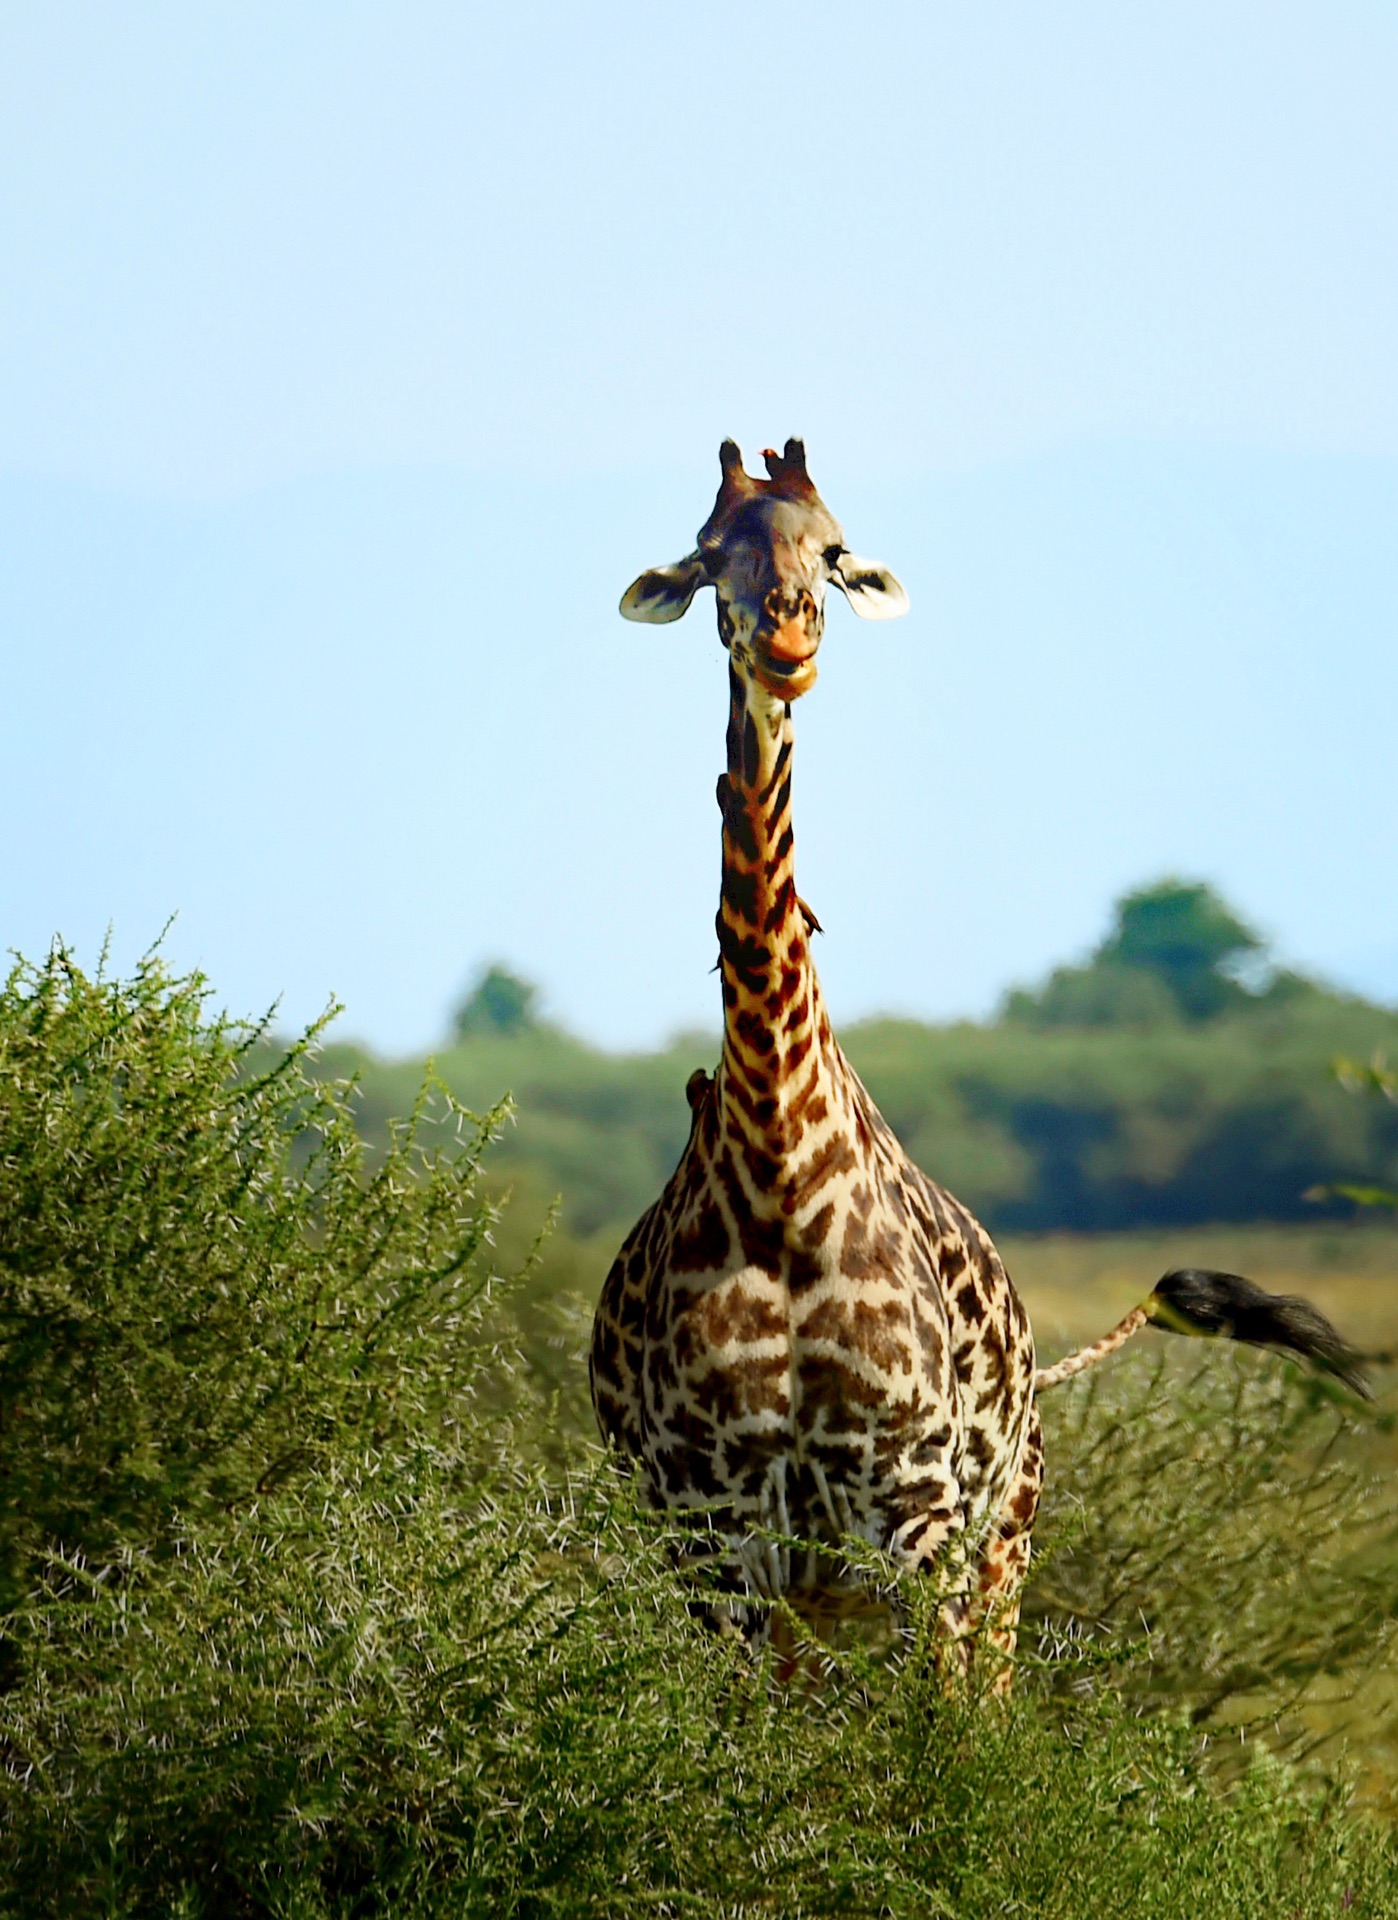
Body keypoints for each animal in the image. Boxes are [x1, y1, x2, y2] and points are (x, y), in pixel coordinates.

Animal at [587, 435, 1367, 1681]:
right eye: (710, 557)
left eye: (835, 549)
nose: (788, 640)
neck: (776, 1160)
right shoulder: (717, 1531)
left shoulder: (913, 1514)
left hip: (1002, 1538)